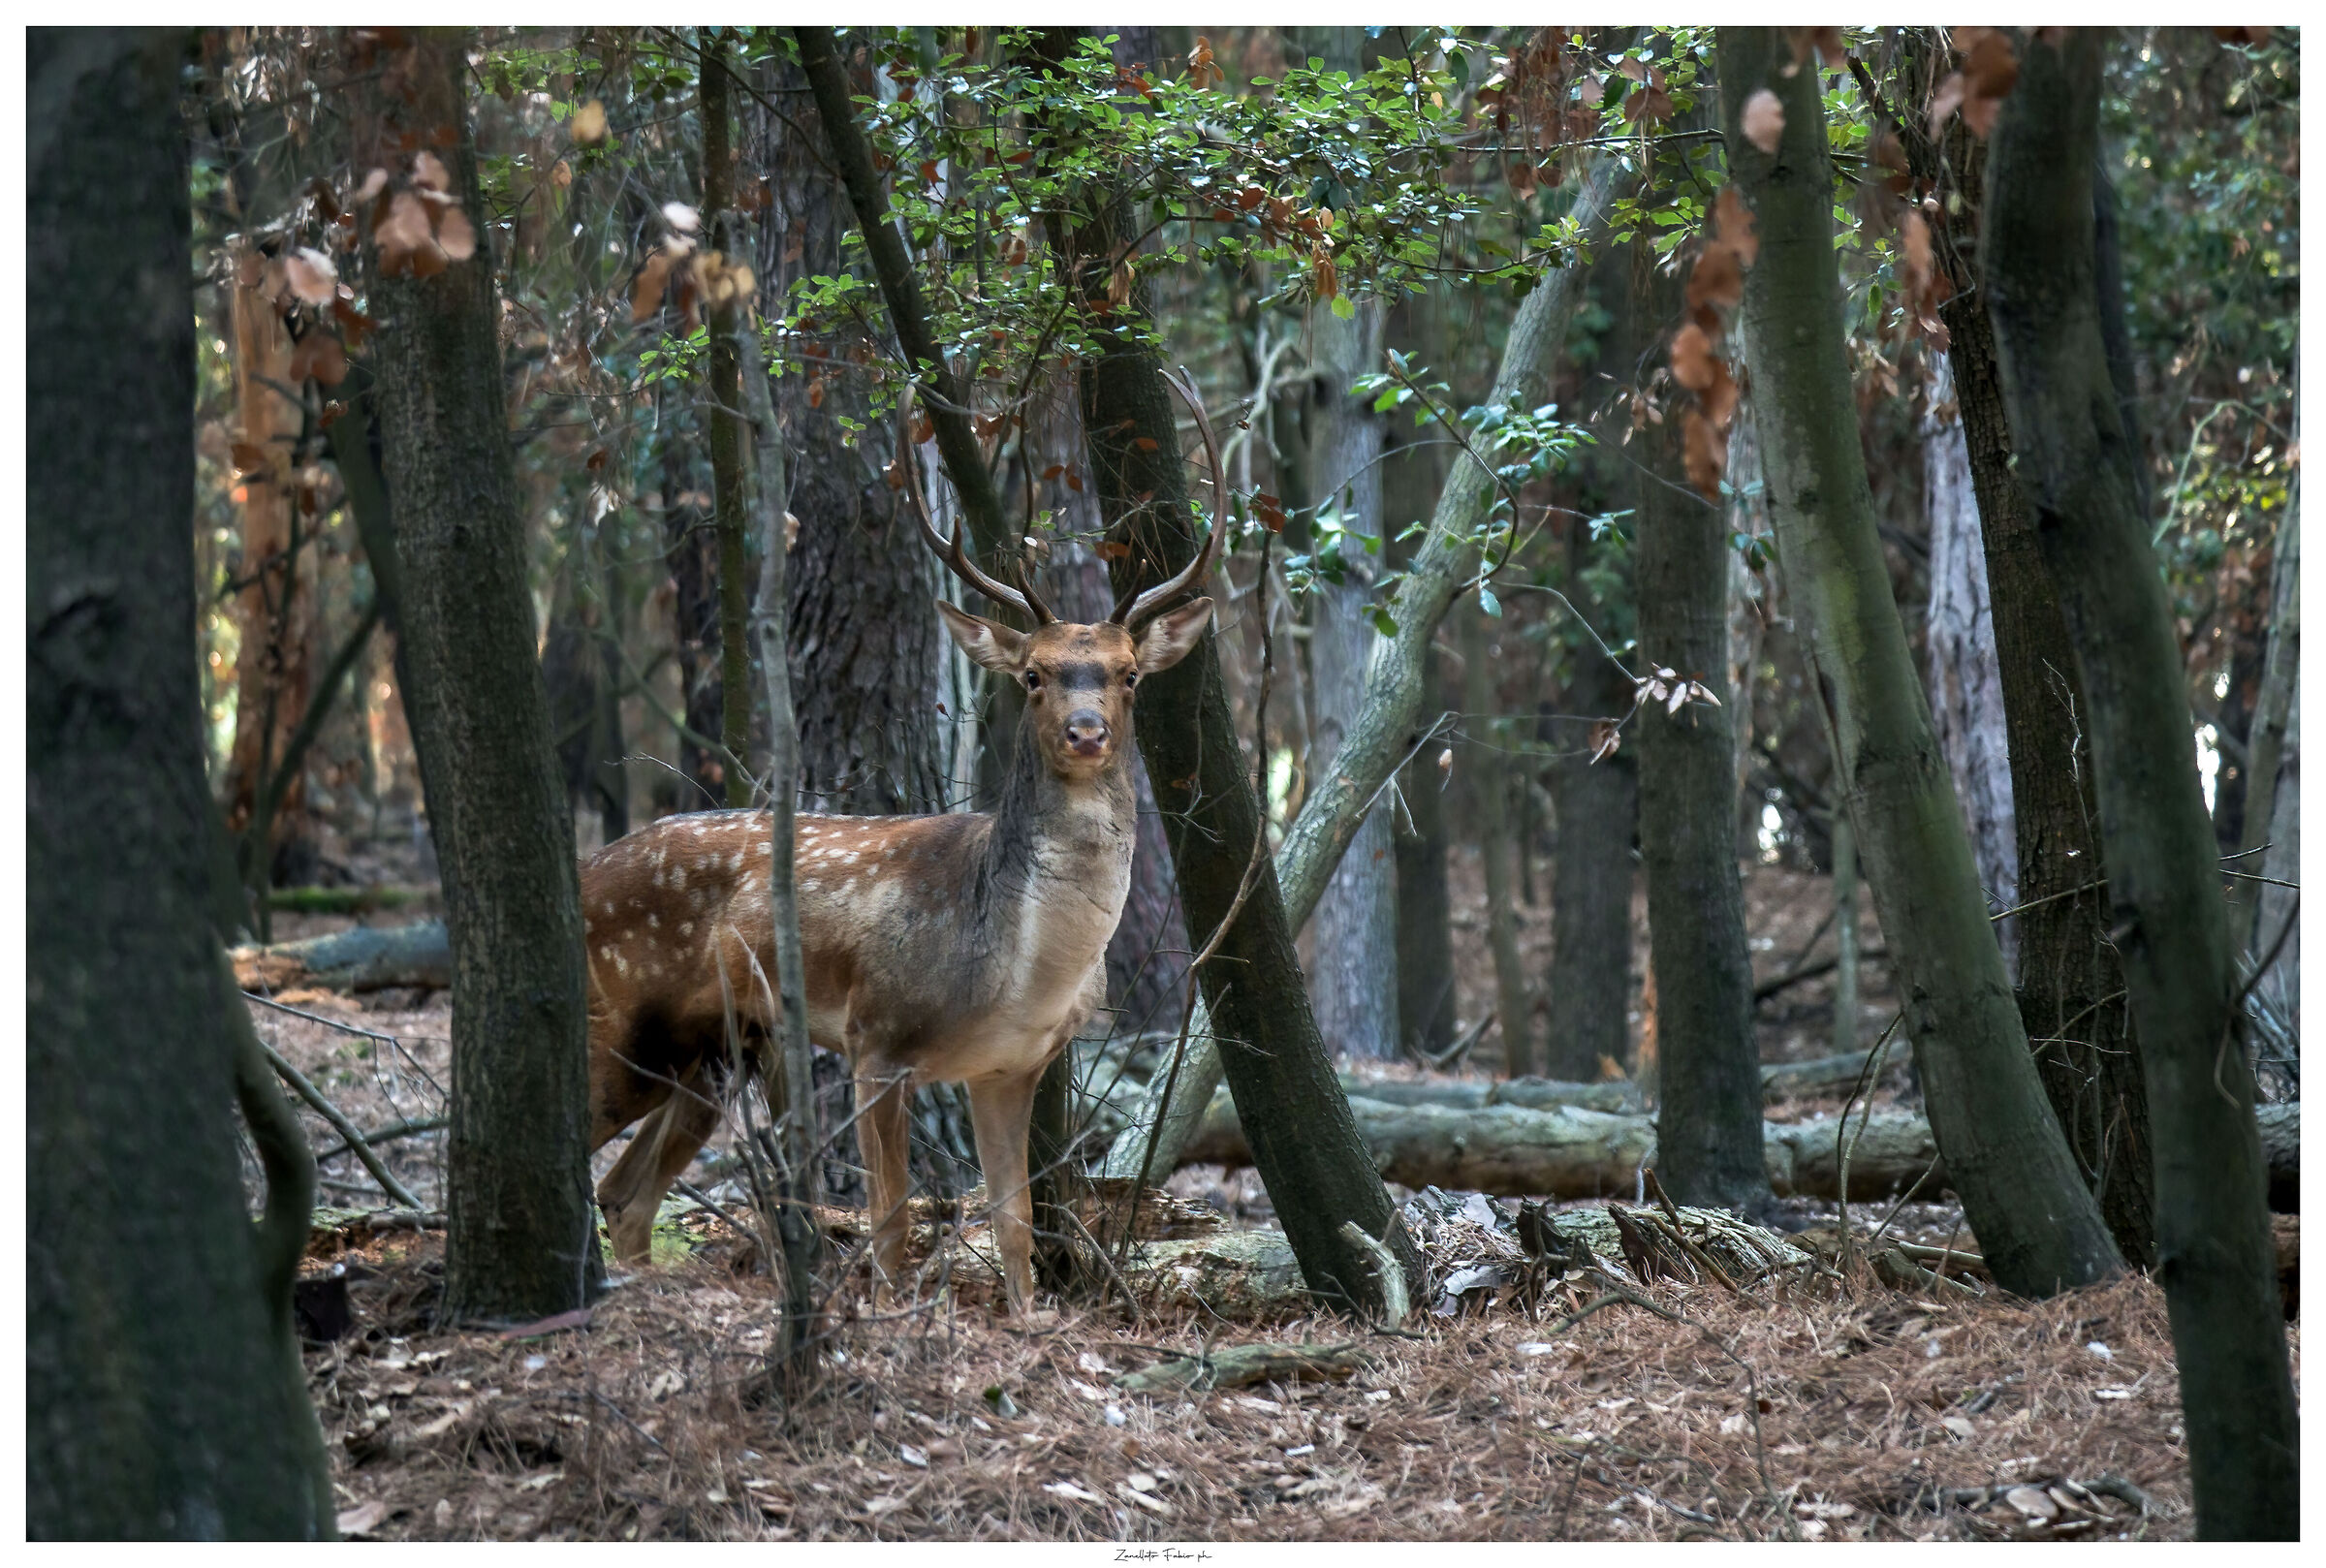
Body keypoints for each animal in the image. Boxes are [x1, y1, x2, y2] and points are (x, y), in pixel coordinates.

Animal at [578, 374, 1225, 1315]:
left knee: (625, 1193)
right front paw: (887, 1317)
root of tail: (584, 873)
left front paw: (1027, 1321)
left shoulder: (1011, 1067)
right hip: (630, 1018)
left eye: (1129, 674)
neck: (1015, 967)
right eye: (1033, 673)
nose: (1086, 730)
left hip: (711, 1052)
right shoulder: (877, 1037)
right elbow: (889, 1226)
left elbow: (1015, 1228)